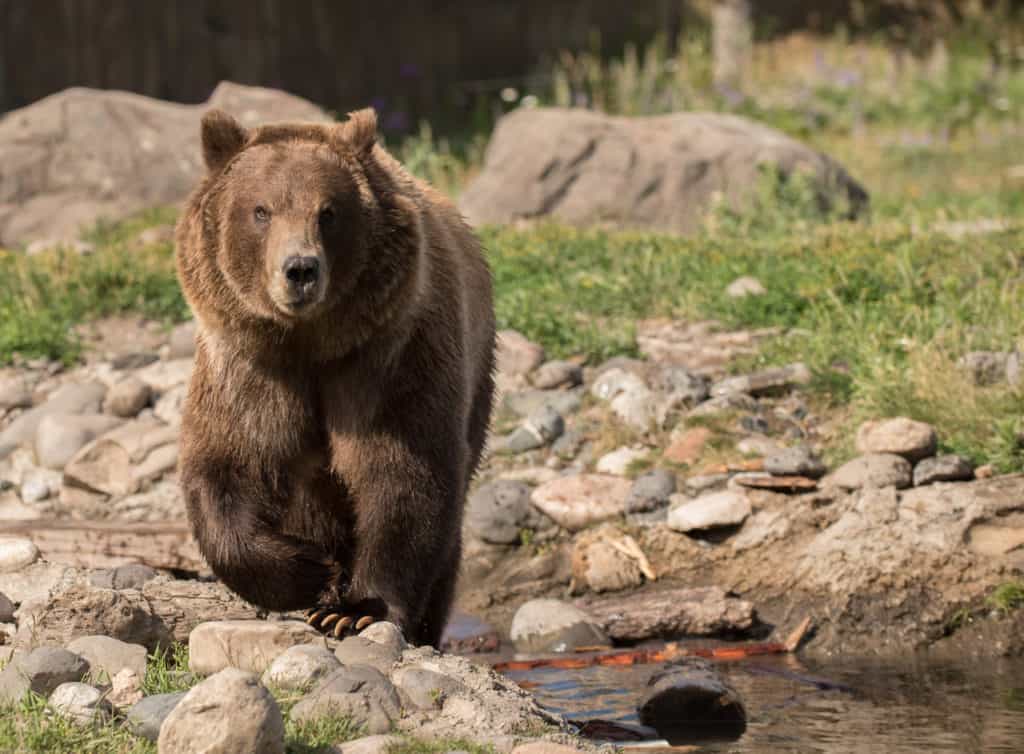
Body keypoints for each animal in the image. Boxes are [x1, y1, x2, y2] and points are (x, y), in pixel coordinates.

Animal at [175, 107, 495, 647]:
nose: (300, 269)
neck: (311, 344)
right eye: (261, 210)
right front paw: (311, 569)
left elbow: (402, 473)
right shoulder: (250, 368)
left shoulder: (388, 358)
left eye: (328, 211)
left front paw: (356, 610)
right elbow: (226, 465)